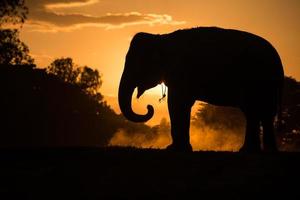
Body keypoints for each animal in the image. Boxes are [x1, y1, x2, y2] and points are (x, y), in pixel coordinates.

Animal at [117, 26, 284, 152]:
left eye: (135, 64)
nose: (149, 107)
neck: (161, 38)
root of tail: (278, 61)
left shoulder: (181, 72)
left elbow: (177, 103)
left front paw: (174, 150)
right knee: (259, 113)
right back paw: (259, 151)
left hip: (258, 81)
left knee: (256, 111)